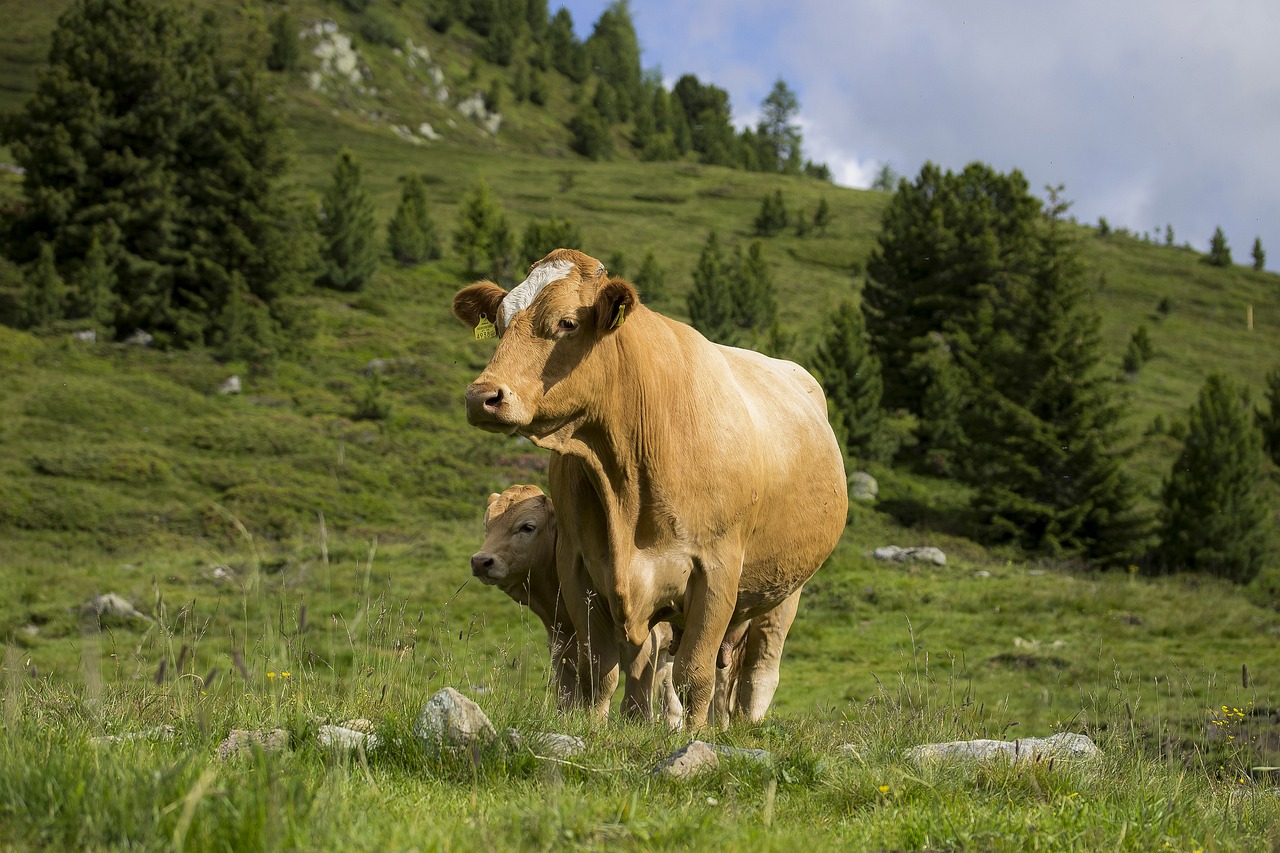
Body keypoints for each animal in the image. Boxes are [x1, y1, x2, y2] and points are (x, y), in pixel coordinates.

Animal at [453, 247, 849, 722]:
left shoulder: (716, 571)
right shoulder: (579, 569)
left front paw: (691, 736)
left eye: (567, 322)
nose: (482, 396)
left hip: (786, 589)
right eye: (498, 323)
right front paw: (595, 728)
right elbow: (600, 673)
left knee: (757, 675)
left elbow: (692, 676)